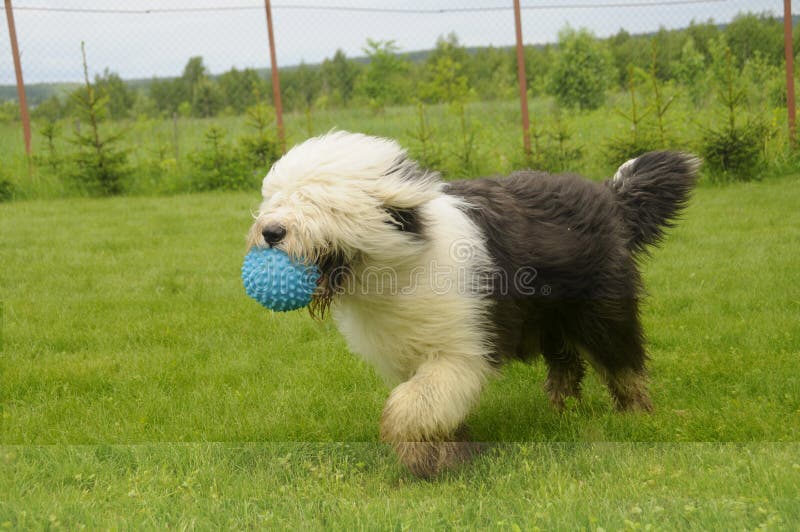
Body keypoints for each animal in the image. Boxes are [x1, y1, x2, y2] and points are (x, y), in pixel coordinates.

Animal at [245, 130, 700, 478]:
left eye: (318, 201)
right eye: (276, 198)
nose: (270, 231)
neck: (399, 266)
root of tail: (609, 197)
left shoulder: (461, 348)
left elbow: (411, 405)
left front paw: (421, 457)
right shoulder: (411, 352)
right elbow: (429, 405)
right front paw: (442, 452)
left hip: (600, 309)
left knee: (622, 362)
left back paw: (635, 414)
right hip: (548, 317)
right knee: (568, 363)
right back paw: (562, 410)